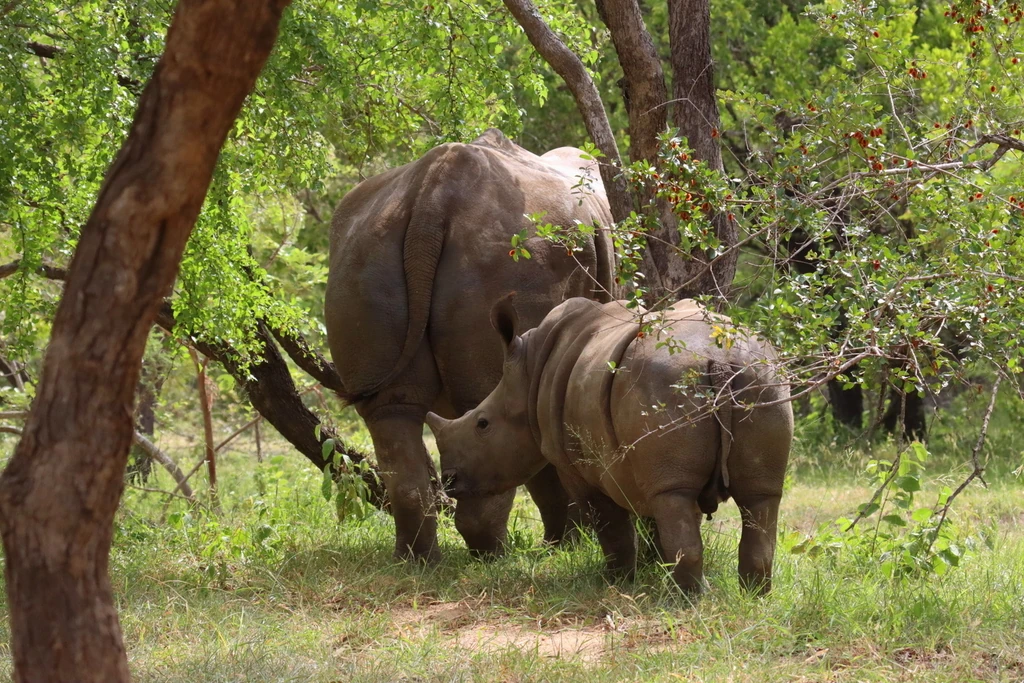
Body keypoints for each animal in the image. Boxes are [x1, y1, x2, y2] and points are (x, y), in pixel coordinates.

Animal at [327, 127, 610, 561]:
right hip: (513, 256)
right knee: (485, 399)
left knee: (392, 410)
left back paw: (419, 561)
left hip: (364, 251)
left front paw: (562, 544)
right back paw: (495, 555)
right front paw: (571, 544)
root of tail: (431, 198)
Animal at [425, 296, 790, 593]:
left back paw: (685, 600)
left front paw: (617, 581)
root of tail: (720, 356)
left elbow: (609, 523)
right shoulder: (641, 464)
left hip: (671, 382)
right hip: (762, 378)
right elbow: (655, 519)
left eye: (482, 424)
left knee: (676, 497)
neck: (527, 376)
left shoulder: (576, 464)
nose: (450, 481)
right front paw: (649, 570)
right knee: (760, 495)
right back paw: (752, 597)